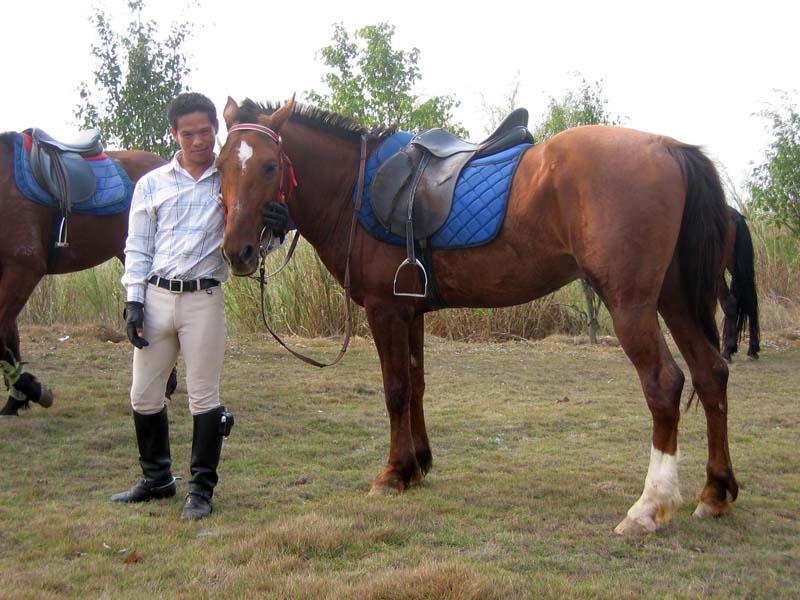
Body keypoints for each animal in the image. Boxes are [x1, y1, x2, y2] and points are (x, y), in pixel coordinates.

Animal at [217, 97, 736, 536]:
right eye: (220, 166)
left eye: (269, 165)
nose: (237, 251)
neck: (355, 186)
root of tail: (668, 147)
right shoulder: (411, 310)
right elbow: (417, 385)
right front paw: (417, 465)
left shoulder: (386, 310)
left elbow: (395, 390)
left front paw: (392, 473)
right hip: (674, 298)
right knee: (711, 372)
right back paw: (715, 491)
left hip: (630, 303)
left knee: (664, 383)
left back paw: (648, 507)